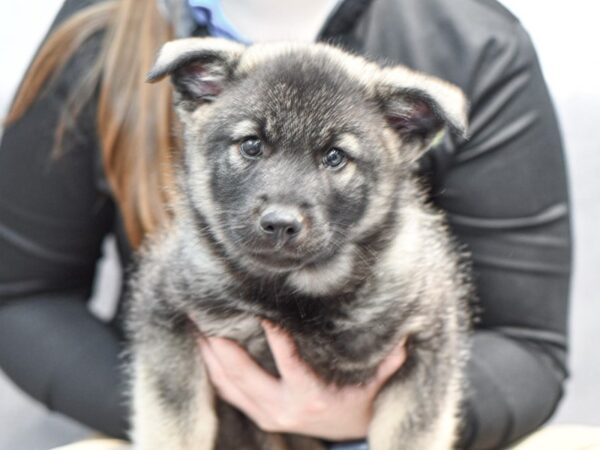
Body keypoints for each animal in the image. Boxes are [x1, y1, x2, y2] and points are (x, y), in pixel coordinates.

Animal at [127, 38, 474, 450]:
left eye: (335, 156)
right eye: (251, 145)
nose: (280, 224)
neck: (296, 294)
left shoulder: (427, 355)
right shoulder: (167, 324)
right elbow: (175, 431)